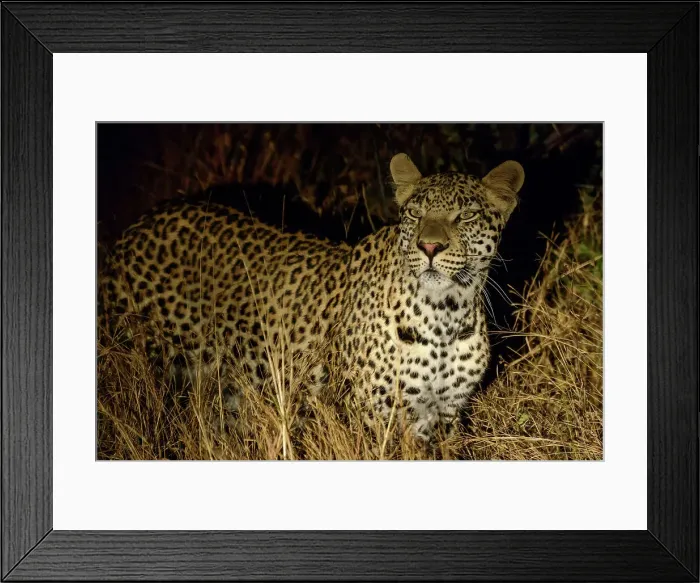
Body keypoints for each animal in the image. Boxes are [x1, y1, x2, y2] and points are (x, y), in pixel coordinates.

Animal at [99, 153, 524, 442]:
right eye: (415, 214)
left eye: (465, 217)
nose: (430, 247)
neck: (445, 315)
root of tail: (136, 227)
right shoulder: (368, 415)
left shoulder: (445, 416)